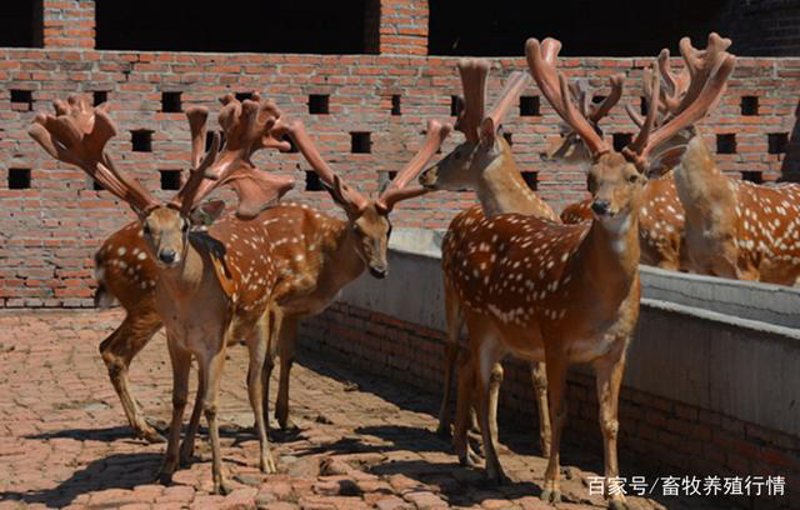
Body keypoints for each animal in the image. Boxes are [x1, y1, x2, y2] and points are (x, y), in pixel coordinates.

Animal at [29, 93, 297, 494]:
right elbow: (180, 397)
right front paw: (166, 467)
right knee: (125, 356)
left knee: (253, 381)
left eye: (184, 226)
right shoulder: (178, 339)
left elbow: (214, 402)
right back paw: (173, 444)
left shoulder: (216, 339)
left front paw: (221, 479)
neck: (189, 307)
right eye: (148, 227)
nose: (168, 255)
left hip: (257, 321)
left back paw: (265, 458)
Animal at [419, 37, 734, 509]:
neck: (597, 301)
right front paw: (550, 485)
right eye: (591, 177)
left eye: (635, 176)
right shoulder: (554, 335)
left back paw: (475, 453)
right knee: (477, 374)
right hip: (478, 317)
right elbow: (560, 407)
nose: (601, 206)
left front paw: (617, 494)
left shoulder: (619, 347)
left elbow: (610, 419)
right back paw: (491, 465)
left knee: (478, 375)